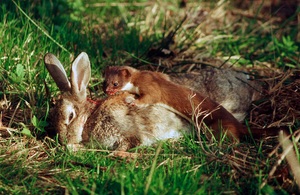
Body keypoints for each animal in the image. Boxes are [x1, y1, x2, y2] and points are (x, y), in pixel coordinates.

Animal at [44, 52, 190, 152]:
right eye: (52, 115)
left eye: (70, 116)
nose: (64, 140)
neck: (90, 116)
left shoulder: (126, 132)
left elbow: (128, 143)